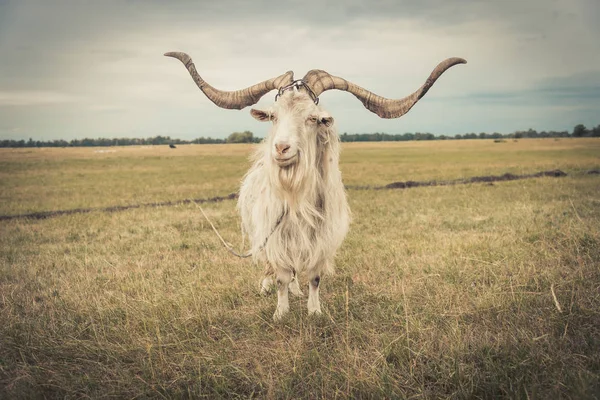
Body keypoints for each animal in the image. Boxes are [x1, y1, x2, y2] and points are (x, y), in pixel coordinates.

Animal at [165, 51, 468, 320]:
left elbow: (314, 277)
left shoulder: (322, 240)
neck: (296, 197)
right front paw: (281, 312)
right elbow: (281, 276)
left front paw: (314, 311)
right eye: (274, 116)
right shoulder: (275, 236)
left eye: (312, 118)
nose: (281, 148)